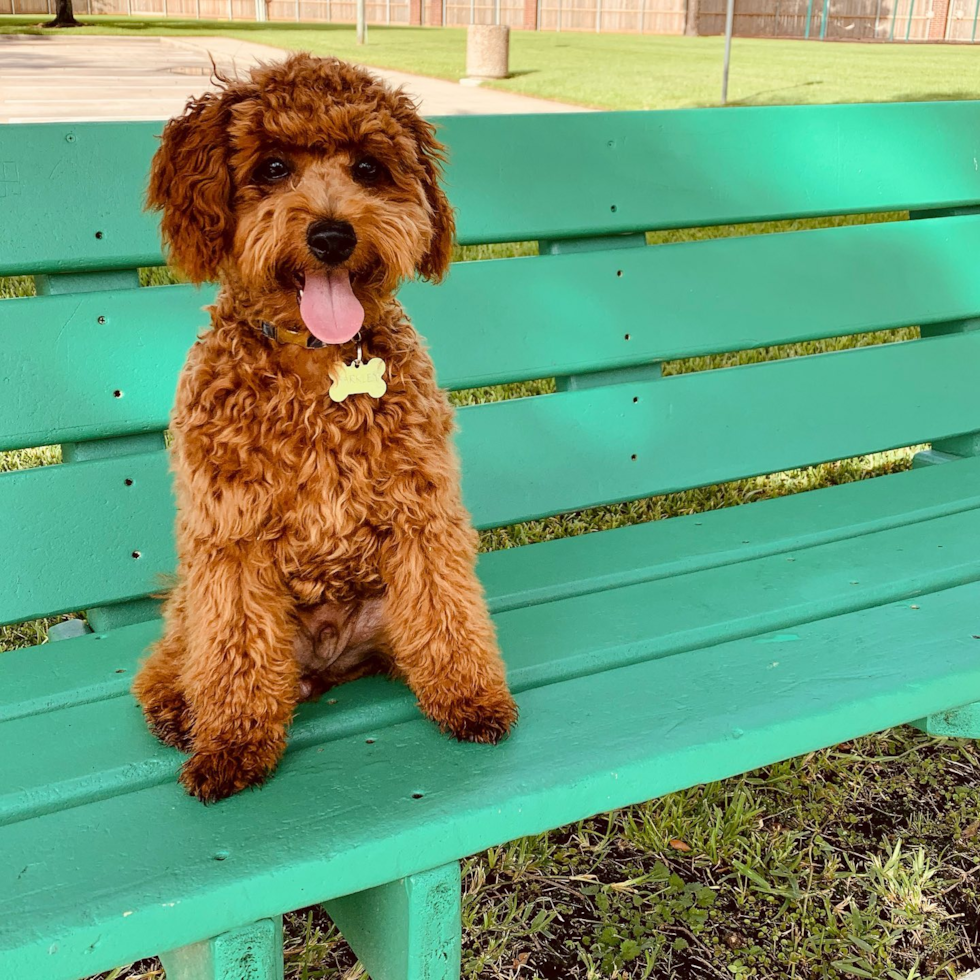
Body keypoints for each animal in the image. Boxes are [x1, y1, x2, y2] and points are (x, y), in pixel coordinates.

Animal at [134, 53, 524, 800]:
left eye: (368, 167)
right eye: (272, 167)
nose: (333, 235)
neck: (319, 359)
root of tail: (330, 662)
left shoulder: (422, 513)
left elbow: (448, 614)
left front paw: (470, 698)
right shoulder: (229, 538)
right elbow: (231, 650)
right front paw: (231, 743)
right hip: (204, 601)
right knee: (176, 651)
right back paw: (174, 706)